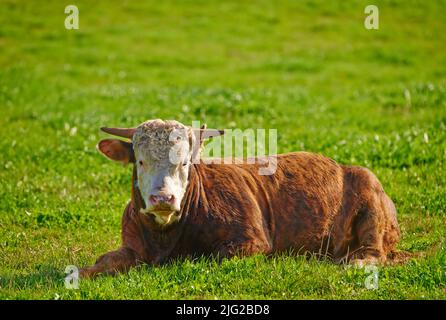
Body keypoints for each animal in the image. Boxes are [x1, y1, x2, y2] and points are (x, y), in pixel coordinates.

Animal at [79, 119, 400, 276]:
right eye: (141, 161)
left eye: (185, 163)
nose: (163, 198)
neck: (165, 237)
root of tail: (343, 167)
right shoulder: (131, 244)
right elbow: (104, 261)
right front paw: (80, 274)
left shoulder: (251, 241)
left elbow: (210, 257)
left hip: (370, 193)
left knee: (374, 251)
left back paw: (356, 263)